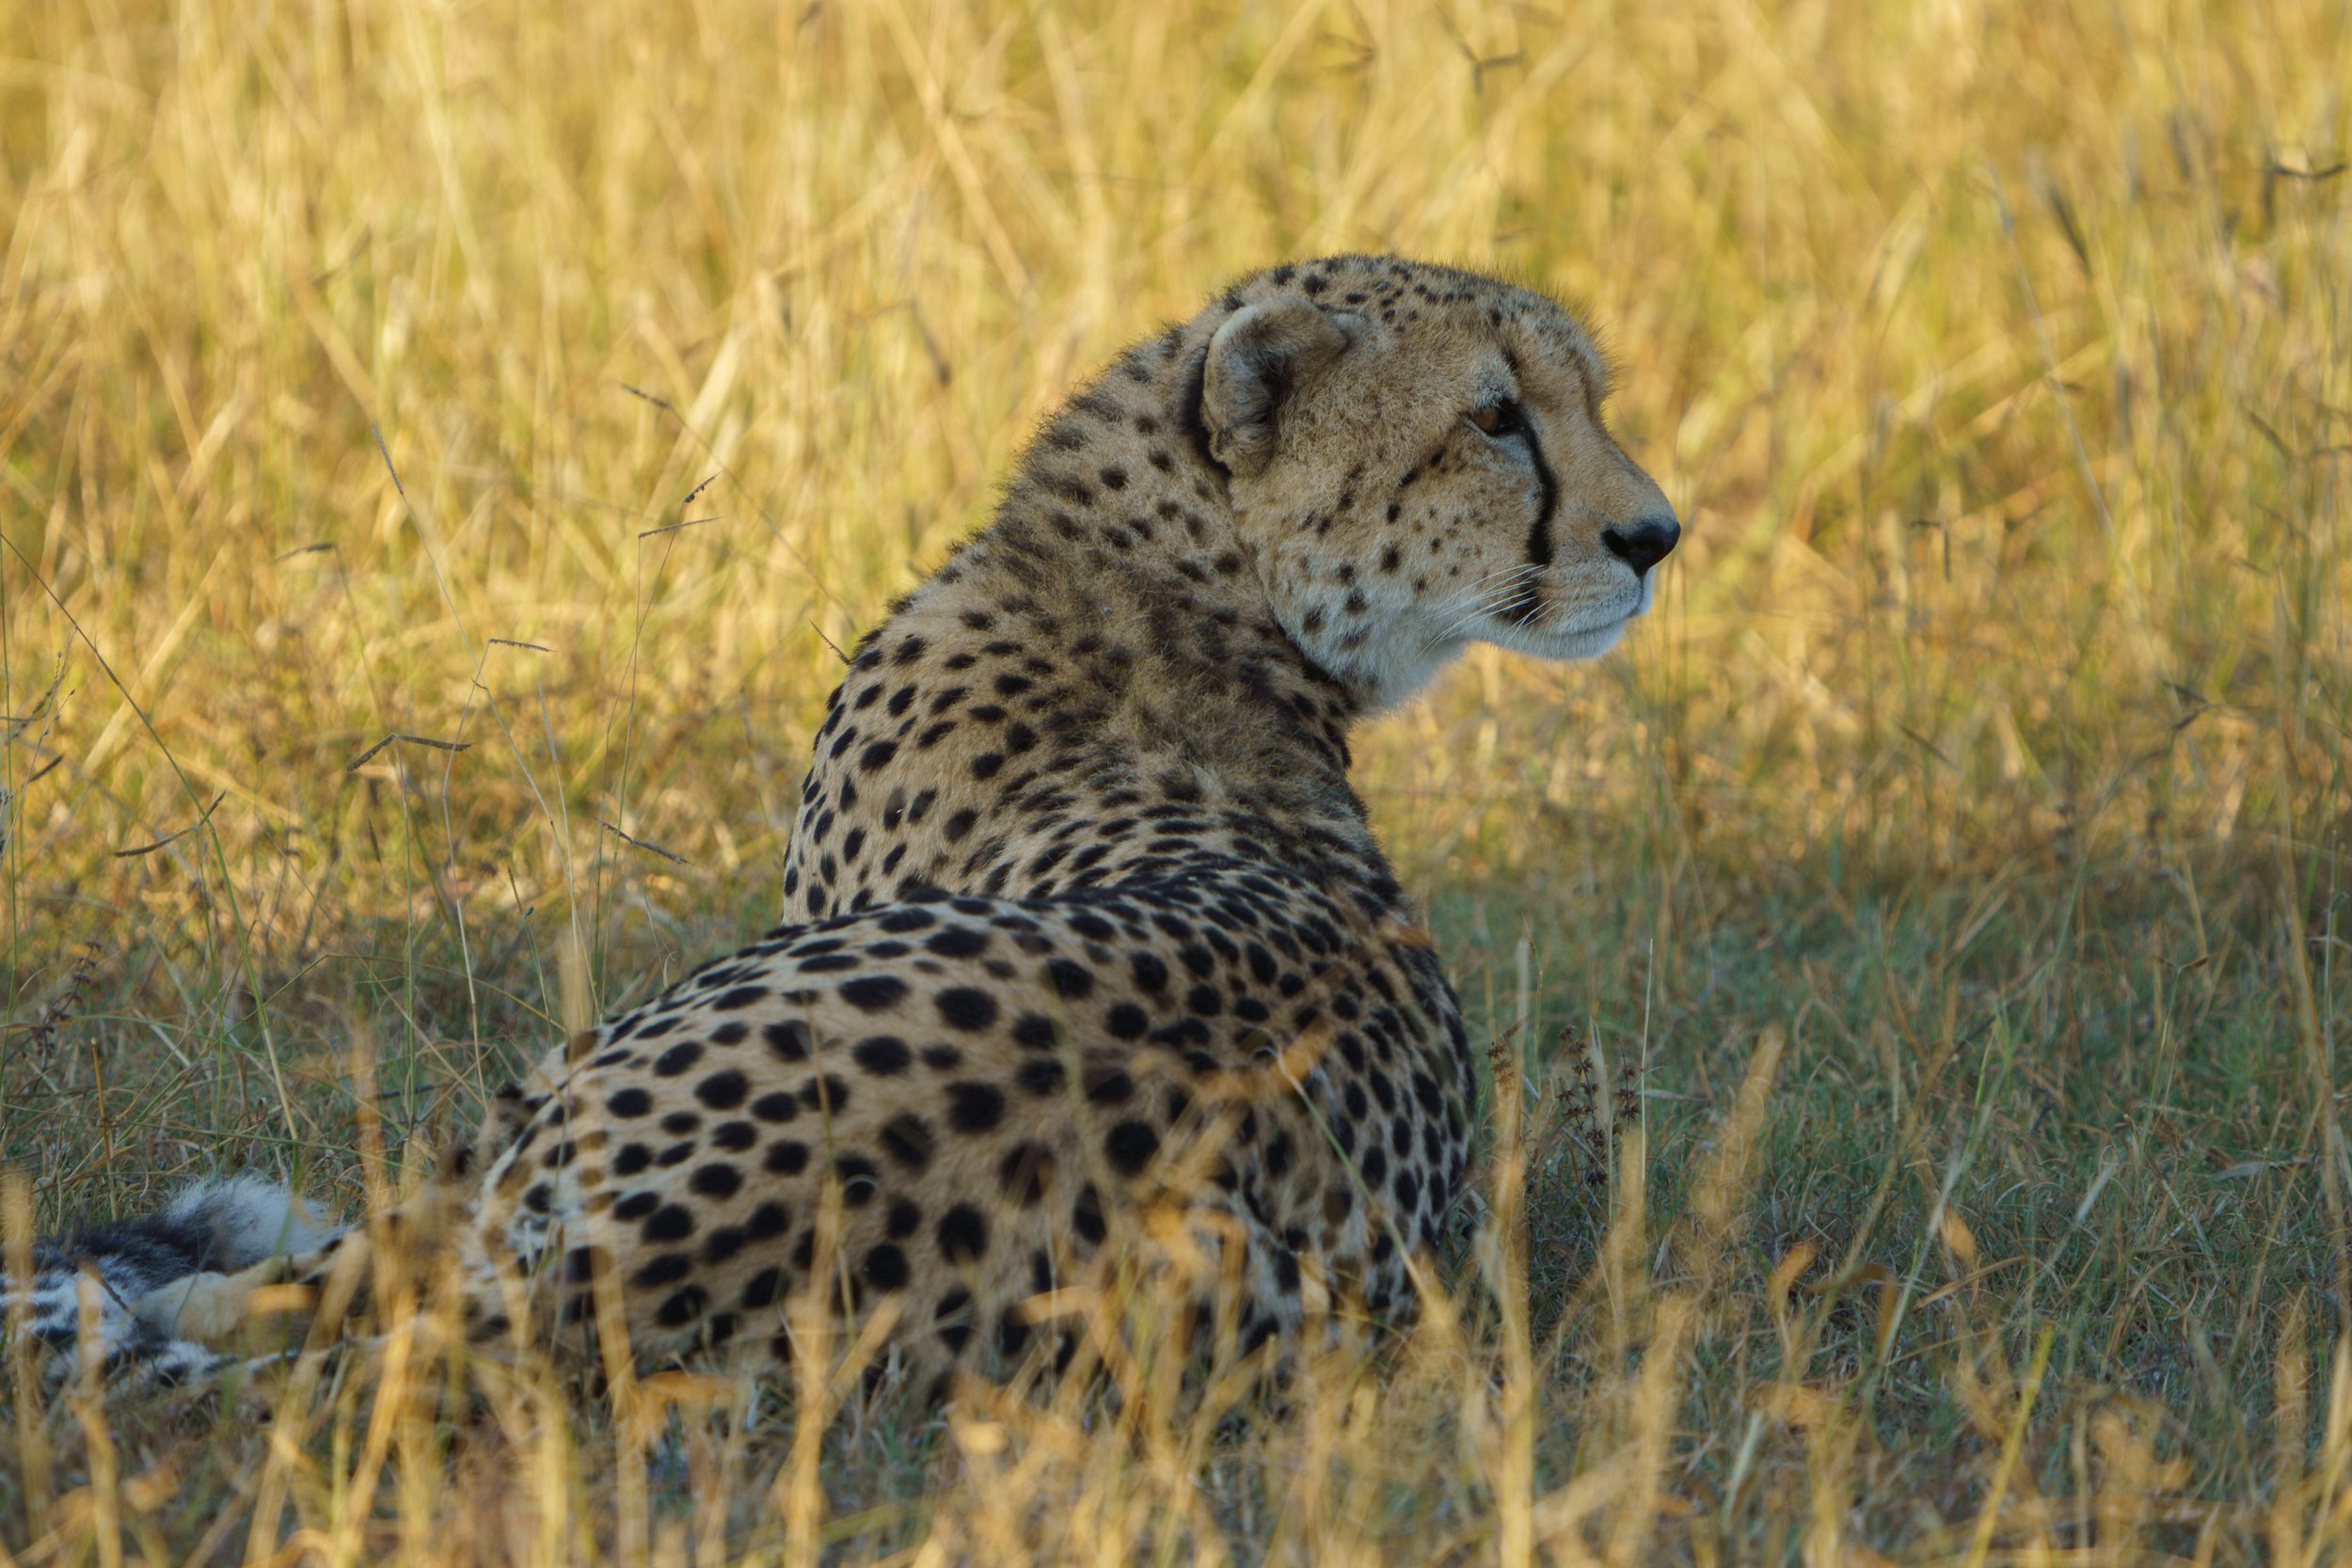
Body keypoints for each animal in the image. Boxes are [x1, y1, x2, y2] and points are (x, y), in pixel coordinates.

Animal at [13, 254, 1676, 1404]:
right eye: (1496, 417)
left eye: (1578, 399)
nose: (1658, 535)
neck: (1177, 580)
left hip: (576, 1090)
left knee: (281, 1284)